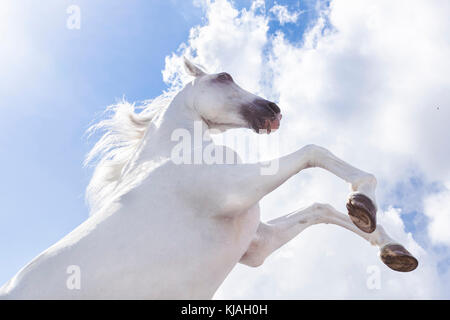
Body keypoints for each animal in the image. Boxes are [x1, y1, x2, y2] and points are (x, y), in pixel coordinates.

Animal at [0, 58, 418, 300]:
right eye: (225, 76)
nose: (274, 109)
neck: (172, 157)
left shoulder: (256, 246)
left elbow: (321, 209)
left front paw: (391, 248)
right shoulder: (236, 190)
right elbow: (315, 152)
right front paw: (363, 200)